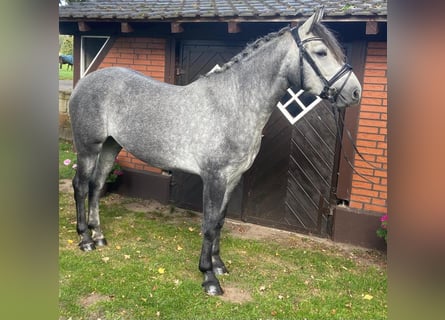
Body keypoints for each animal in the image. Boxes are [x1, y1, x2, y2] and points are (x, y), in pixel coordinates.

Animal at [69, 7, 360, 296]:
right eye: (321, 52)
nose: (355, 92)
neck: (232, 104)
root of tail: (84, 82)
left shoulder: (233, 178)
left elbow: (219, 222)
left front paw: (219, 266)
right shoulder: (214, 177)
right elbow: (208, 225)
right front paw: (208, 277)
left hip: (111, 146)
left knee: (97, 185)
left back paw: (99, 236)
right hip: (88, 148)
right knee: (81, 186)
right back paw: (85, 239)